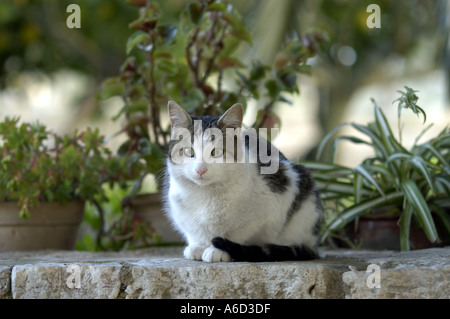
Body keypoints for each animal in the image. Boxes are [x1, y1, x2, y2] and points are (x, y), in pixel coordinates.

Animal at [163, 101, 322, 264]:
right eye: (188, 151)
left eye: (216, 152)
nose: (200, 170)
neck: (205, 193)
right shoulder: (180, 211)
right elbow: (194, 230)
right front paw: (199, 246)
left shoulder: (271, 205)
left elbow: (238, 232)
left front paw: (218, 250)